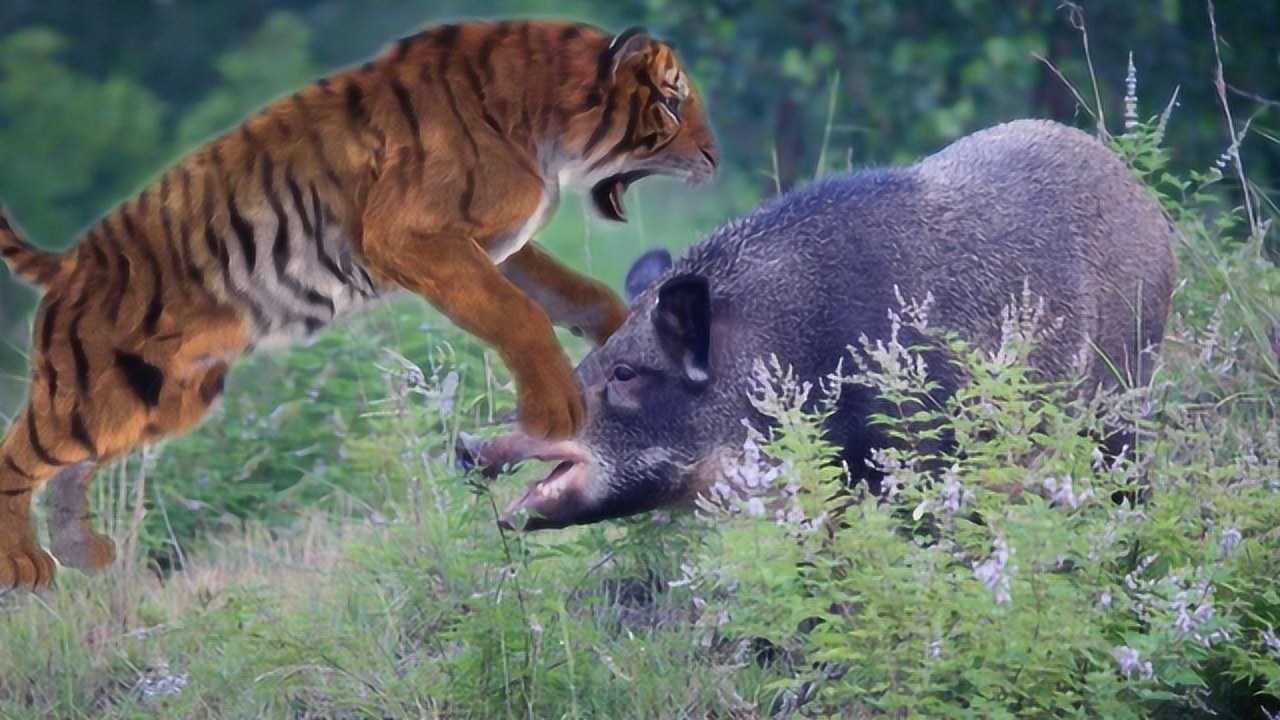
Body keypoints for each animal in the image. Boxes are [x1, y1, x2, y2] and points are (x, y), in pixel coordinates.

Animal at [0, 20, 719, 590]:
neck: (546, 129)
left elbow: (572, 294)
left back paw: (83, 554)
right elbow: (519, 315)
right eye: (672, 102)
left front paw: (624, 335)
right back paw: (27, 568)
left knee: (70, 472)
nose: (715, 158)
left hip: (157, 399)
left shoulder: (496, 245)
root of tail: (68, 261)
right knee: (17, 454)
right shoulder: (409, 235)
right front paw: (556, 412)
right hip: (90, 393)